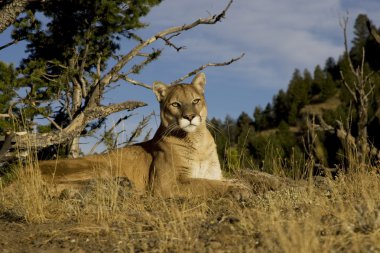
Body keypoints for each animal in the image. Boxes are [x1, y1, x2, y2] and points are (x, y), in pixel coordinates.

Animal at [39, 73, 249, 200]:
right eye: (175, 104)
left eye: (196, 100)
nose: (189, 117)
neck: (197, 141)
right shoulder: (166, 184)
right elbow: (205, 184)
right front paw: (238, 190)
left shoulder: (215, 173)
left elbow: (221, 180)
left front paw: (242, 184)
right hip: (99, 164)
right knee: (56, 186)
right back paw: (119, 187)